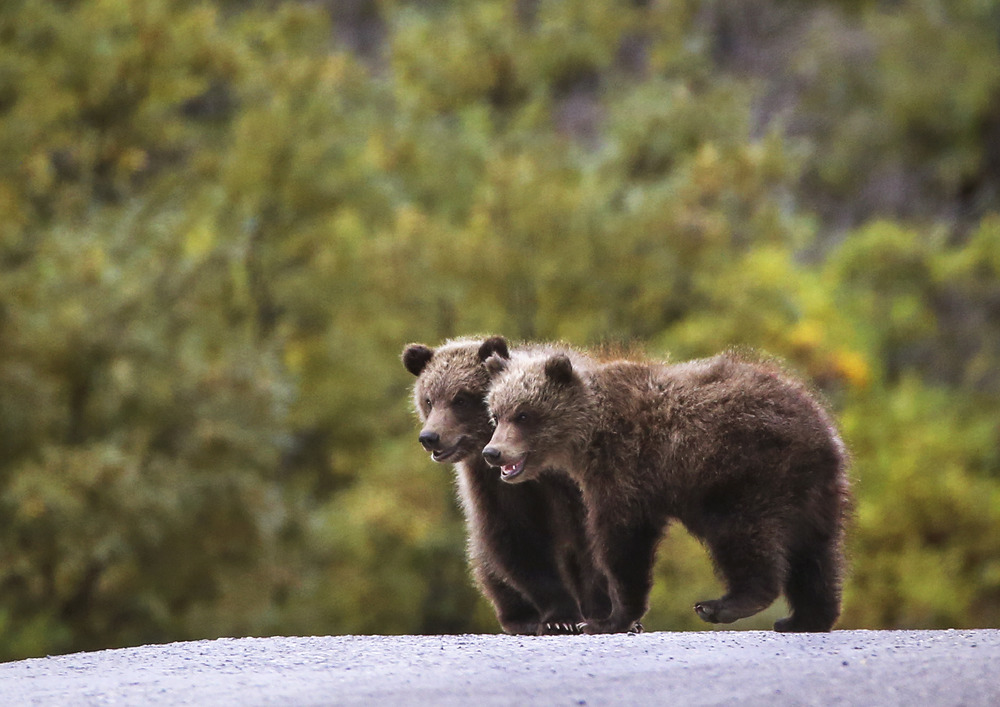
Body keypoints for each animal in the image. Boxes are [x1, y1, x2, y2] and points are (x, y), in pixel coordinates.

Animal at [402, 336, 612, 635]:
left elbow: (590, 540)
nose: (430, 437)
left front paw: (597, 613)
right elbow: (514, 539)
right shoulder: (493, 485)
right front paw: (559, 617)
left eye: (460, 398)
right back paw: (519, 617)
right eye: (428, 399)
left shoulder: (571, 484)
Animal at [482, 347, 850, 634]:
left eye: (524, 414)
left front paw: (608, 619)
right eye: (496, 414)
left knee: (743, 534)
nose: (493, 452)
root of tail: (823, 428)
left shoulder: (626, 467)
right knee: (815, 553)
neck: (588, 435)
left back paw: (721, 605)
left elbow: (622, 541)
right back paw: (805, 618)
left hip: (744, 473)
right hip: (812, 489)